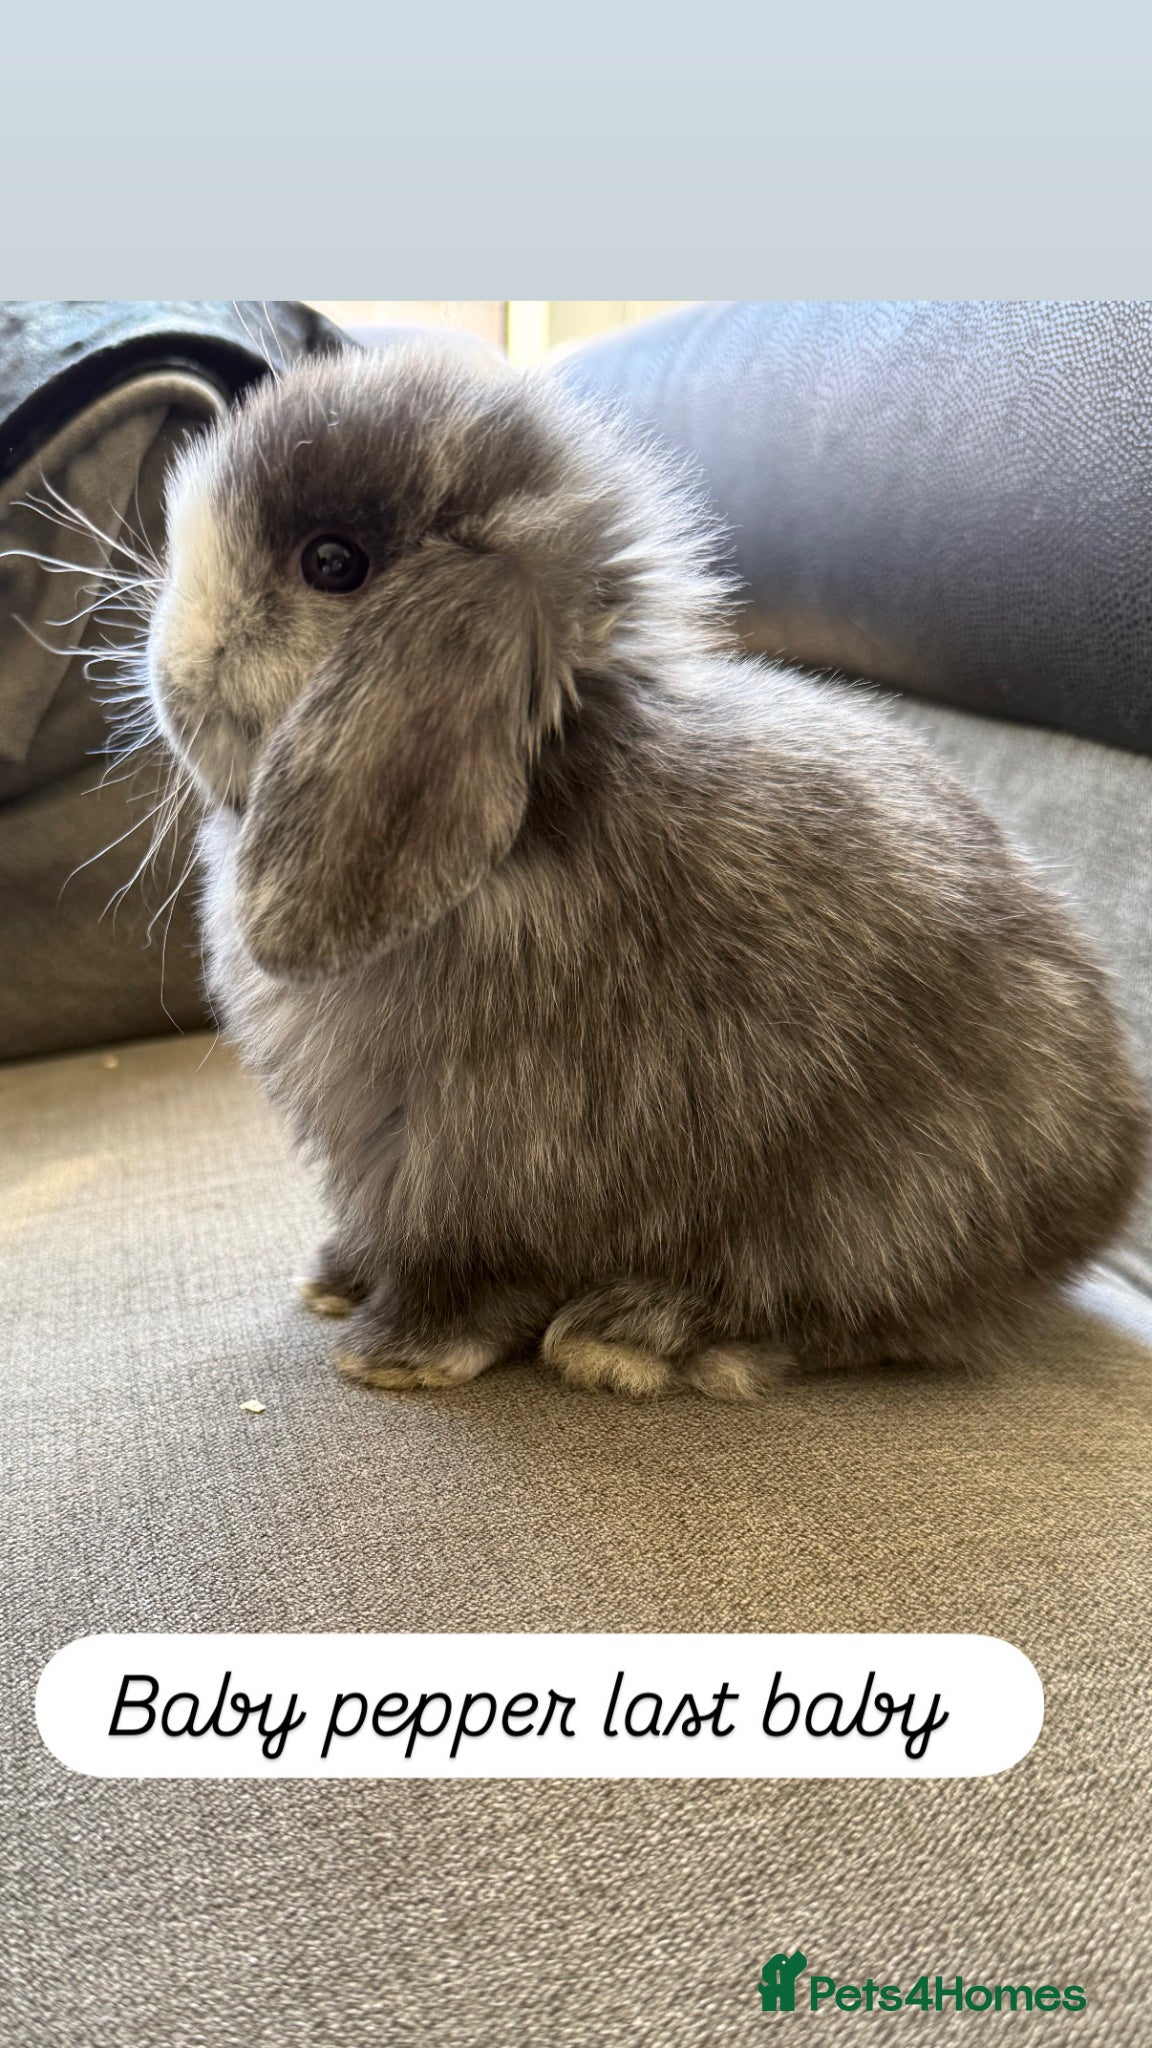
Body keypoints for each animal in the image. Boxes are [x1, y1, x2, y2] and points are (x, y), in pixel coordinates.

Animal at [145, 340, 1149, 1400]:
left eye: (332, 563)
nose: (168, 675)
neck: (543, 811)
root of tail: (1104, 1191)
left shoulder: (491, 1157)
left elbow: (474, 1270)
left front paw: (401, 1355)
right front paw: (335, 1278)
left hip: (888, 1202)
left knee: (841, 1312)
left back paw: (628, 1334)